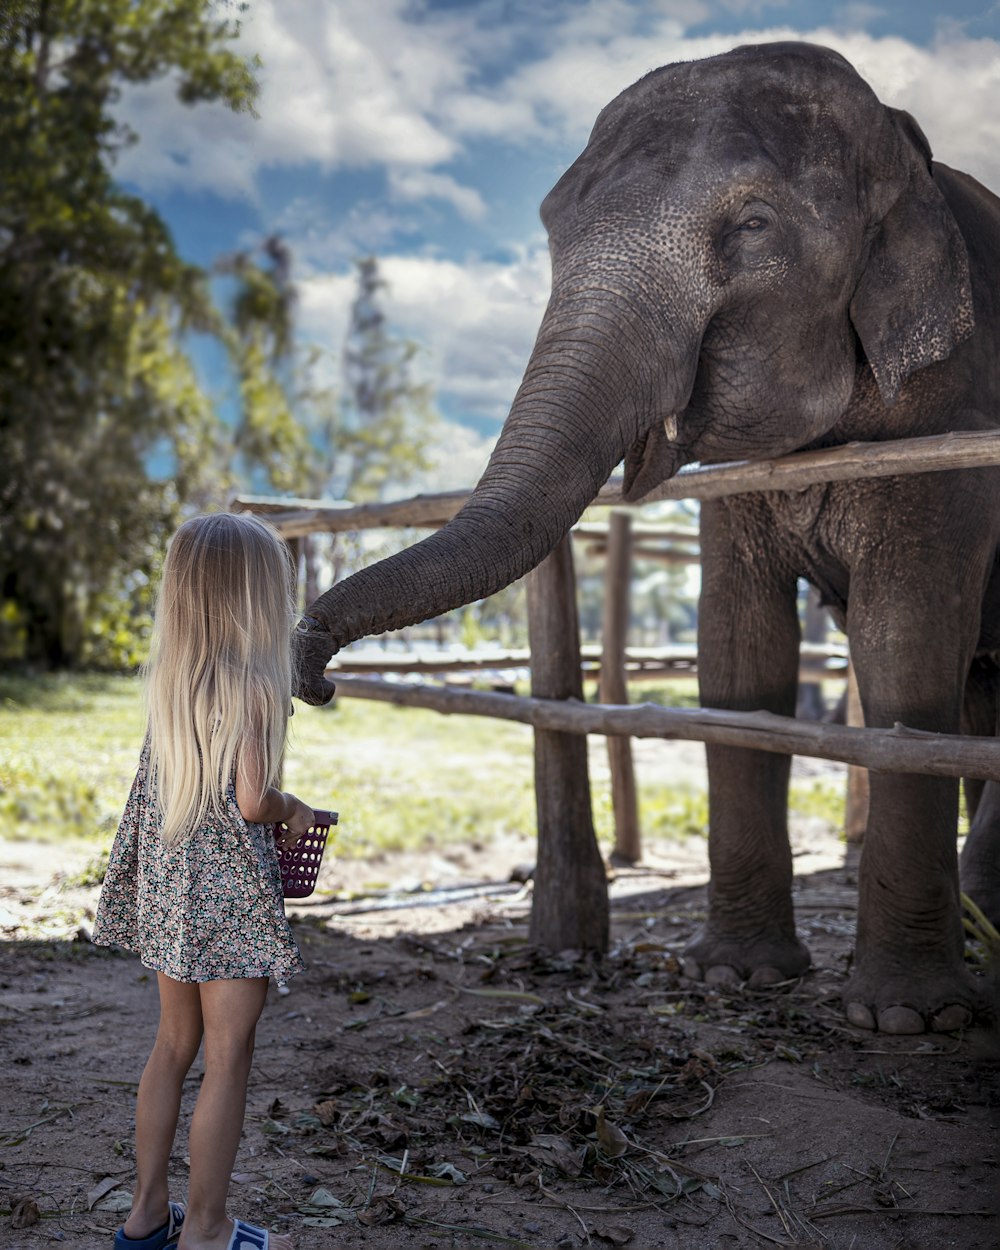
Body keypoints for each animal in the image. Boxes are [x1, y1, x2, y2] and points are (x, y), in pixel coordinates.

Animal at [297, 41, 1000, 1035]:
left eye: (753, 225)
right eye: (551, 225)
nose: (313, 667)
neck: (911, 156)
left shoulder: (952, 427)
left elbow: (902, 651)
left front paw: (907, 1021)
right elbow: (739, 658)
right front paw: (734, 978)